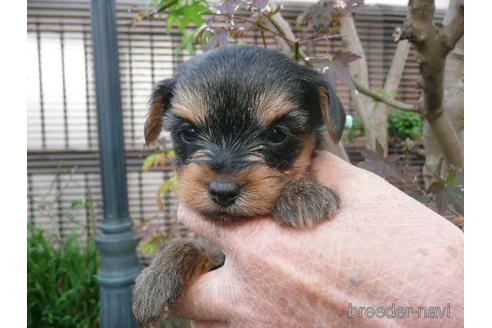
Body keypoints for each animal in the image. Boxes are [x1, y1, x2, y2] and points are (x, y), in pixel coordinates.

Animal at [133, 44, 344, 326]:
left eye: (277, 134)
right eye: (188, 132)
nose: (223, 191)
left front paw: (303, 193)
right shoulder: (214, 254)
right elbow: (190, 245)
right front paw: (158, 275)